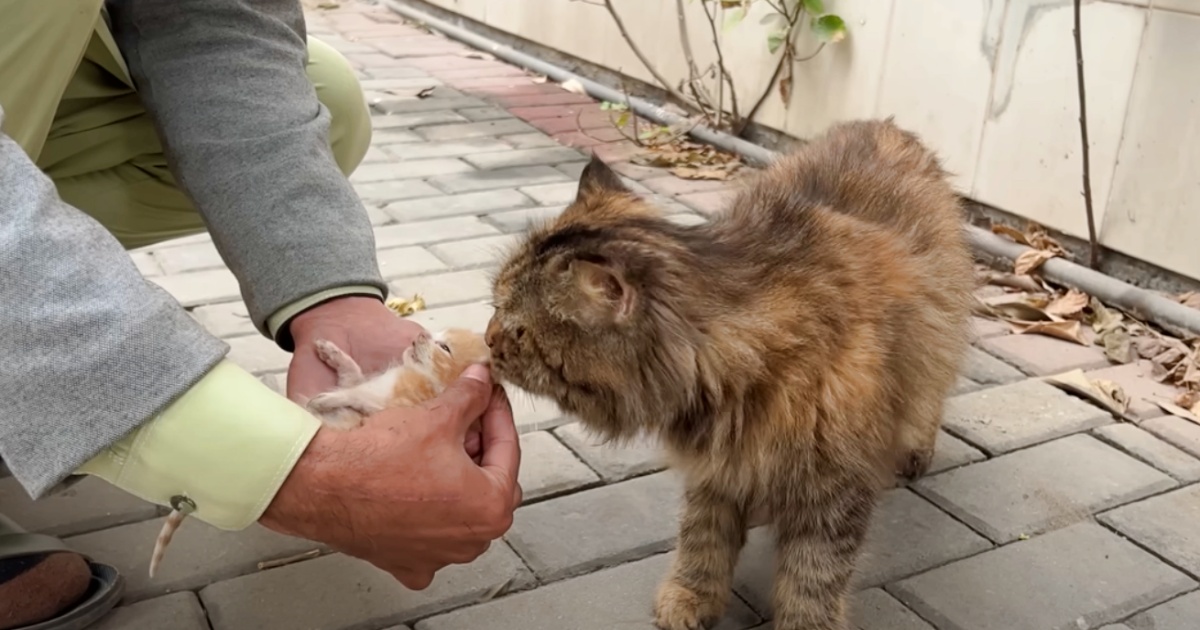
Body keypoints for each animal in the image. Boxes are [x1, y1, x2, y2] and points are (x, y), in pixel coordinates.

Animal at [147, 328, 489, 580]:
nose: (417, 336)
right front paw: (331, 354)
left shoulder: (387, 408)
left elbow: (355, 397)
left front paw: (326, 399)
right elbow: (352, 376)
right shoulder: (367, 387)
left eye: (443, 346)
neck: (425, 380)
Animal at [482, 119, 979, 628]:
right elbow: (703, 539)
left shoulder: (833, 487)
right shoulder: (717, 469)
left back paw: (915, 449)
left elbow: (813, 576)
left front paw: (804, 624)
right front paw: (691, 597)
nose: (486, 339)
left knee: (929, 393)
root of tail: (882, 125)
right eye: (495, 305)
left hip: (938, 335)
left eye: (517, 329)